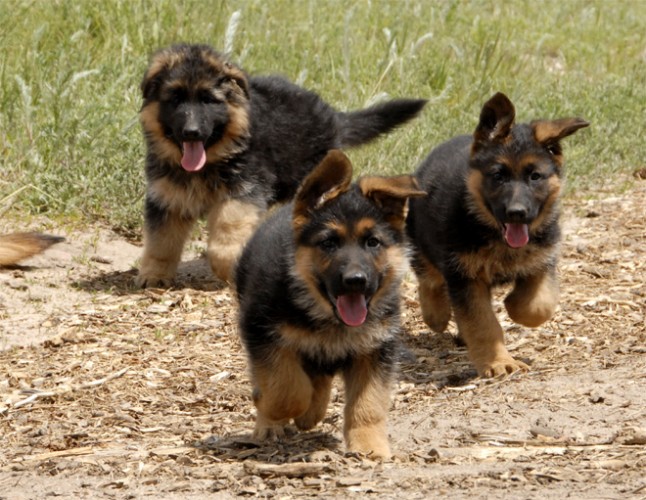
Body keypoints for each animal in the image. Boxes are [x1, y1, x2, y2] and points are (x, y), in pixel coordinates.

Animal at [136, 44, 428, 288]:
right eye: (175, 99)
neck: (215, 158)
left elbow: (225, 237)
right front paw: (155, 274)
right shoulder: (167, 198)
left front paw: (228, 267)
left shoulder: (243, 192)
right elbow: (161, 241)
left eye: (208, 100)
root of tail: (332, 118)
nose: (191, 132)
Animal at [235, 148, 428, 458]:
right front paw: (281, 410)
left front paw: (369, 445)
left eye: (373, 242)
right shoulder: (261, 332)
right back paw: (271, 423)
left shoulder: (375, 349)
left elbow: (368, 403)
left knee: (319, 377)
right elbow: (284, 391)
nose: (355, 280)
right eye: (328, 243)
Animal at [410, 92, 592, 376]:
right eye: (498, 175)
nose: (516, 213)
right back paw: (436, 313)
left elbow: (537, 305)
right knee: (429, 279)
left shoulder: (542, 260)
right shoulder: (465, 276)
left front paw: (513, 303)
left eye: (535, 176)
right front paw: (499, 362)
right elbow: (483, 324)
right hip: (422, 242)